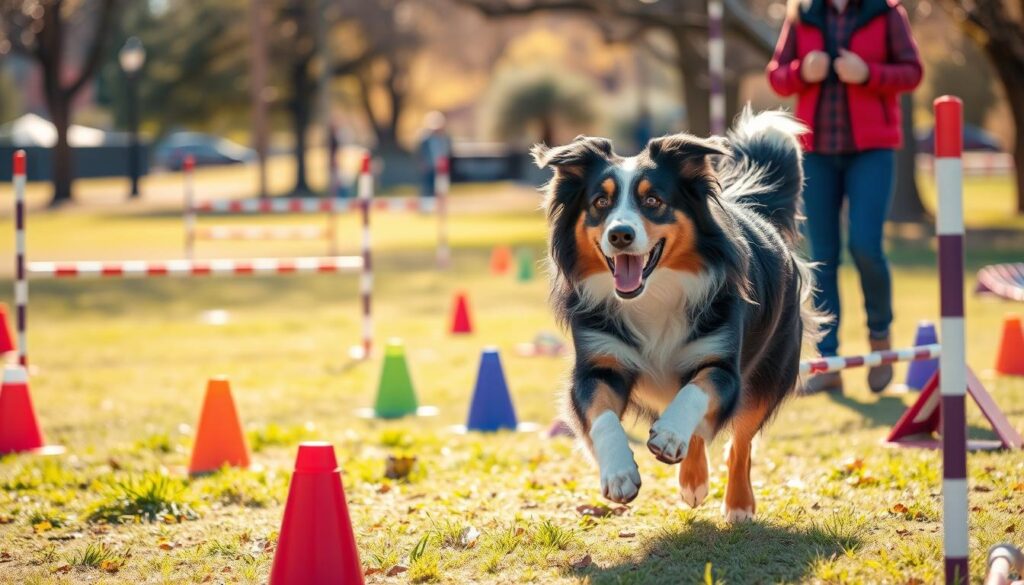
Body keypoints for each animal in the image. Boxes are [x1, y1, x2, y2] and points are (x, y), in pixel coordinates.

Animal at [536, 108, 823, 522]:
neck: (654, 292)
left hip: (768, 373)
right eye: (600, 202)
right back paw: (692, 480)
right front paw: (619, 472)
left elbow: (696, 392)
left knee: (740, 440)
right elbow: (603, 416)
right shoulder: (597, 366)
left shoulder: (722, 364)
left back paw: (735, 502)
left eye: (653, 200)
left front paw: (670, 433)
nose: (620, 235)